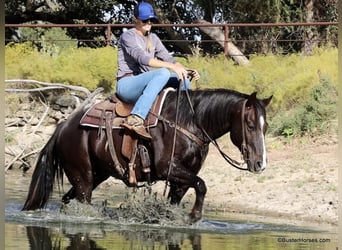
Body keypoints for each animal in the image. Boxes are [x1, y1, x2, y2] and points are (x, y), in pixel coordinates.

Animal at [21, 88, 272, 223]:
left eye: (265, 126)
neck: (189, 122)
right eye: (250, 125)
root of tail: (63, 127)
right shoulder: (169, 169)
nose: (260, 164)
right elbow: (202, 185)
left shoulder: (181, 180)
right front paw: (194, 215)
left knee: (67, 200)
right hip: (83, 178)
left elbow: (184, 196)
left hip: (95, 176)